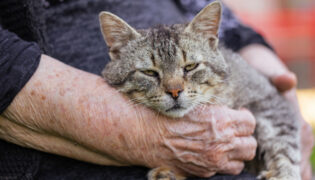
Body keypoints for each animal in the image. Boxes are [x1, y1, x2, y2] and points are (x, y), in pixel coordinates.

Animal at [99, 1, 302, 180]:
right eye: (149, 72)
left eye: (190, 67)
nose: (174, 91)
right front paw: (168, 172)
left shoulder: (269, 101)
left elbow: (284, 143)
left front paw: (283, 173)